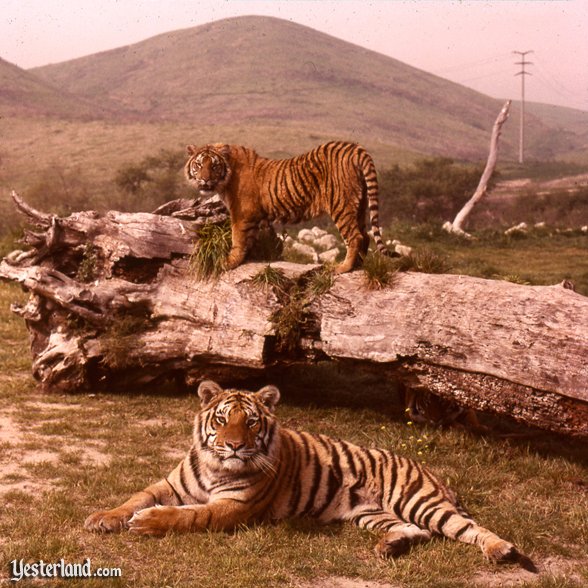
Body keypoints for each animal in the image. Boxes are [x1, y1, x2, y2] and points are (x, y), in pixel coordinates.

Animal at [86, 378, 532, 568]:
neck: (216, 466)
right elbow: (137, 496)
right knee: (415, 531)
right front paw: (102, 518)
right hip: (372, 514)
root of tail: (428, 468)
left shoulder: (234, 506)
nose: (234, 446)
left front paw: (147, 523)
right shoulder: (169, 484)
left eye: (250, 422)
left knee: (468, 528)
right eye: (222, 419)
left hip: (418, 500)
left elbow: (192, 516)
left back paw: (502, 551)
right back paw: (389, 548)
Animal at [186, 141, 392, 274]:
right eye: (199, 165)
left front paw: (229, 262)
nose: (204, 180)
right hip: (360, 205)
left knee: (355, 237)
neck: (226, 177)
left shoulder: (241, 214)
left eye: (214, 166)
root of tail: (354, 148)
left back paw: (343, 268)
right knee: (365, 235)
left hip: (341, 204)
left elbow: (238, 238)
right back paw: (359, 265)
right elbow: (251, 239)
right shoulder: (255, 217)